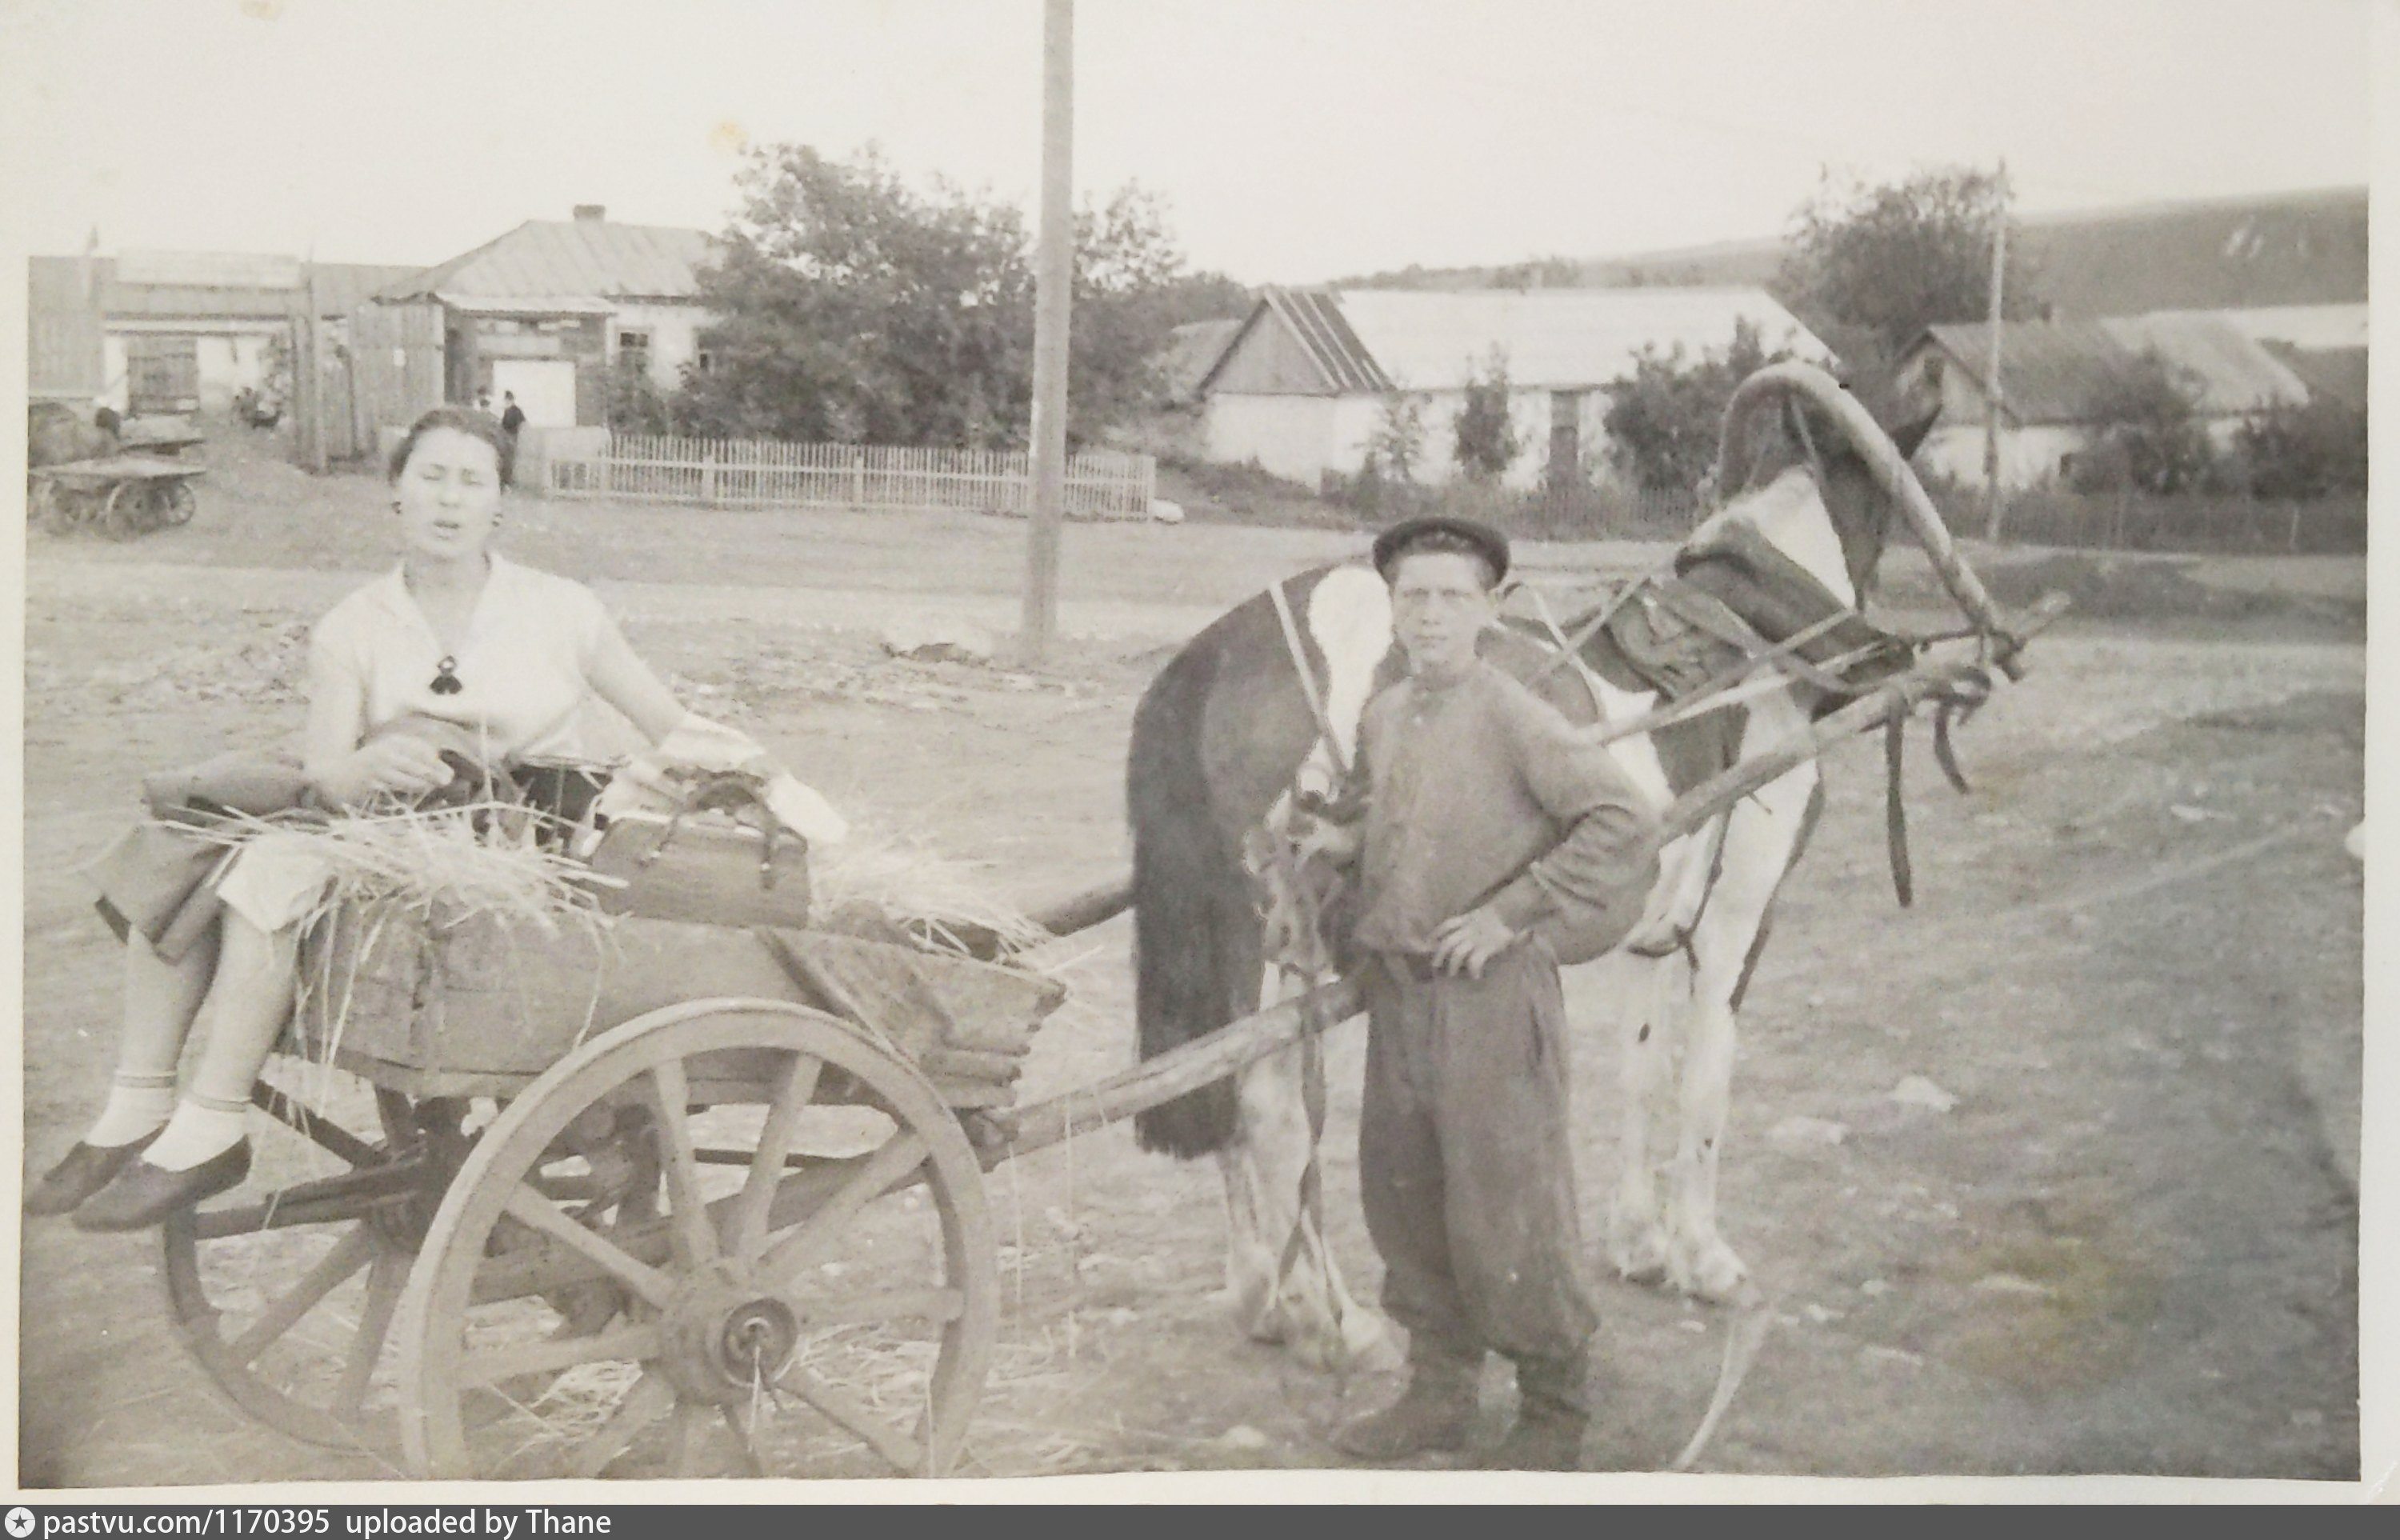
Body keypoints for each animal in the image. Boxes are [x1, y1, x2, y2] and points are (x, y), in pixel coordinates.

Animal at [1114, 362, 2016, 1362]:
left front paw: (1639, 1243)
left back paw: (1262, 1297)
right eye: (1892, 501)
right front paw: (1703, 1256)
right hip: (1281, 938)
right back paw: (1329, 1316)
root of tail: (1215, 651)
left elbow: (1641, 1068)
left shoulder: (1656, 923)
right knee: (1270, 1109)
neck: (1752, 651)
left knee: (1224, 1094)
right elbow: (1705, 1082)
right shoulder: (1739, 920)